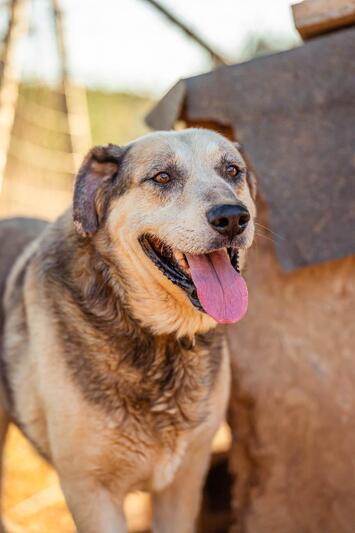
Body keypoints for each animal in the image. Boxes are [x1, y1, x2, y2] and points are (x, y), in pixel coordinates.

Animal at [0, 127, 256, 528]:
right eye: (162, 177)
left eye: (232, 171)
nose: (232, 217)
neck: (160, 340)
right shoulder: (91, 493)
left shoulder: (184, 484)